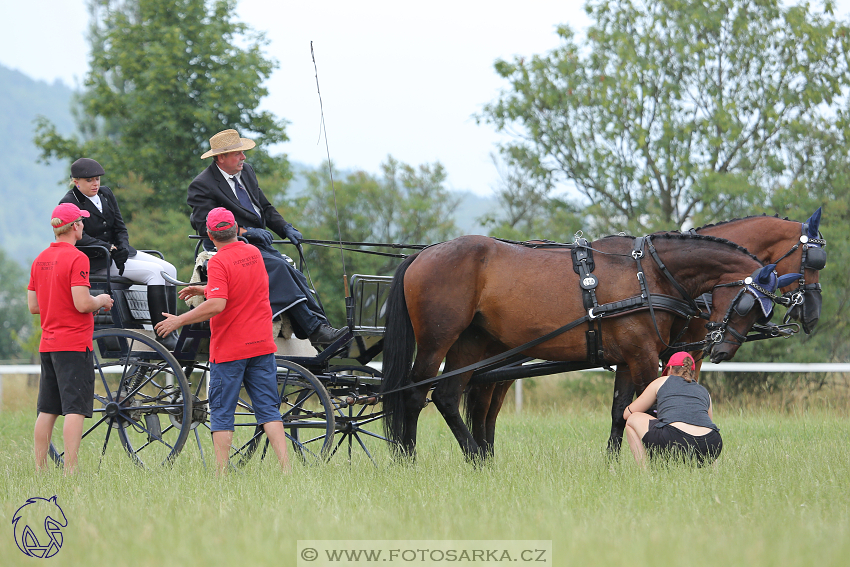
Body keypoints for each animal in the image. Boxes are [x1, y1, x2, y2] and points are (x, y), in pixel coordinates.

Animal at [378, 233, 788, 460]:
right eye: (750, 304)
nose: (722, 349)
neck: (648, 274)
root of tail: (424, 253)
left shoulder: (629, 358)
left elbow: (621, 411)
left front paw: (611, 464)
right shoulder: (643, 358)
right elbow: (651, 411)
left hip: (471, 344)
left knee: (448, 397)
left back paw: (476, 459)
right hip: (437, 341)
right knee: (415, 395)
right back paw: (408, 458)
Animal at [464, 211, 820, 460]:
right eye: (813, 262)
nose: (812, 314)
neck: (660, 277)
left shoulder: (638, 356)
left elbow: (622, 411)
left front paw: (612, 465)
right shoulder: (664, 354)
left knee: (486, 404)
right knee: (483, 404)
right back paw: (483, 456)